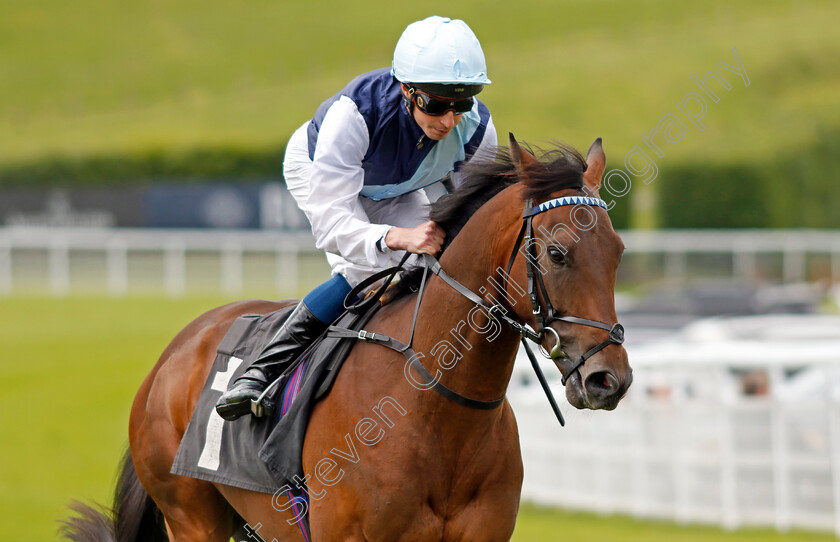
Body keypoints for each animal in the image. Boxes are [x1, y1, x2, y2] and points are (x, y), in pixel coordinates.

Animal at [62, 136, 632, 542]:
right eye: (556, 253)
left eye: (619, 252)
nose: (610, 379)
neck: (435, 410)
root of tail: (174, 352)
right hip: (190, 517)